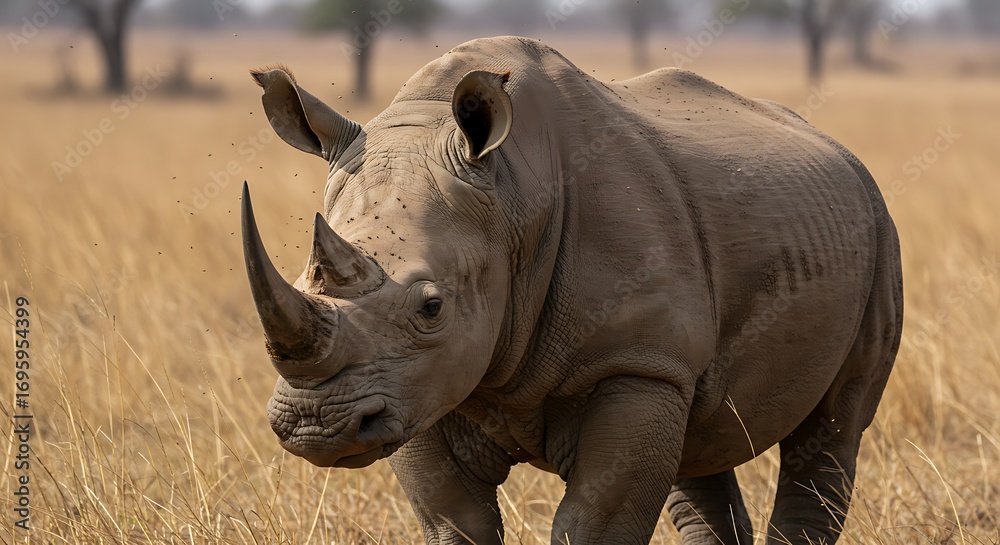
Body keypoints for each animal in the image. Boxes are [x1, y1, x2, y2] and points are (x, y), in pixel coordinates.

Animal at [240, 37, 902, 544]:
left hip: (877, 224)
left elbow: (594, 524)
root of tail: (836, 147)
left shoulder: (630, 361)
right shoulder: (417, 383)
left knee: (833, 431)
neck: (510, 197)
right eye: (300, 281)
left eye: (432, 307)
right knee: (699, 444)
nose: (315, 425)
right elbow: (456, 522)